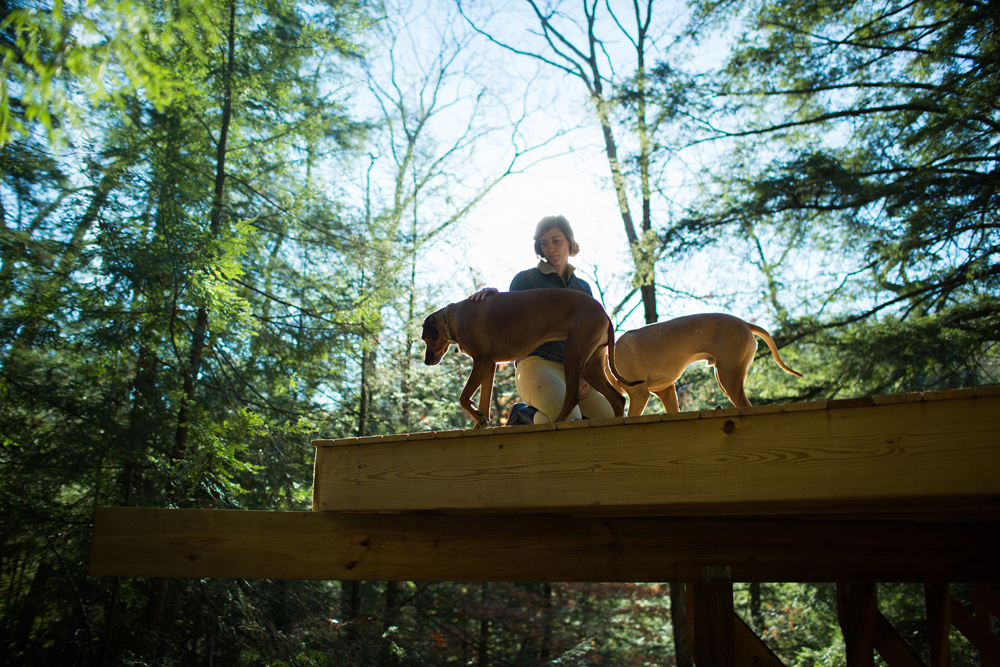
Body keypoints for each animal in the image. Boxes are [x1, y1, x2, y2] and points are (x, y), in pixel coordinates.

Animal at [420, 288, 636, 428]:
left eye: (424, 338)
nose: (426, 361)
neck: (454, 318)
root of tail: (604, 313)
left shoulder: (481, 361)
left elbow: (464, 397)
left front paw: (478, 418)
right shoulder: (490, 365)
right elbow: (484, 402)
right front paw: (480, 423)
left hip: (573, 353)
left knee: (573, 395)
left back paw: (558, 421)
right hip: (591, 364)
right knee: (617, 399)